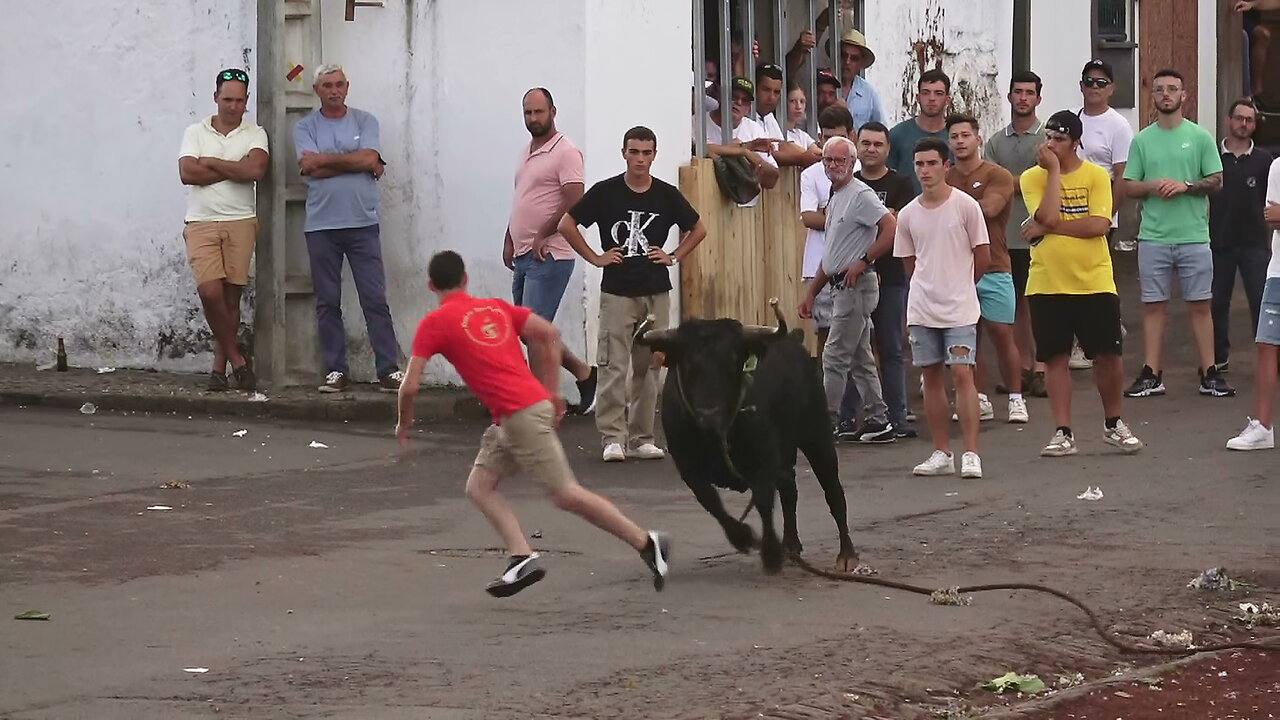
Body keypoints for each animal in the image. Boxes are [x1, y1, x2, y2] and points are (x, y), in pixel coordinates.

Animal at [640, 302, 860, 571]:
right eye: (688, 364)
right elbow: (713, 503)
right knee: (789, 489)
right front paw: (743, 537)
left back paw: (846, 554)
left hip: (817, 437)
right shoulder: (689, 468)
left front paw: (771, 553)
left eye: (732, 362)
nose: (709, 414)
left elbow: (764, 501)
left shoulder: (765, 459)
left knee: (833, 492)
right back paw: (791, 545)